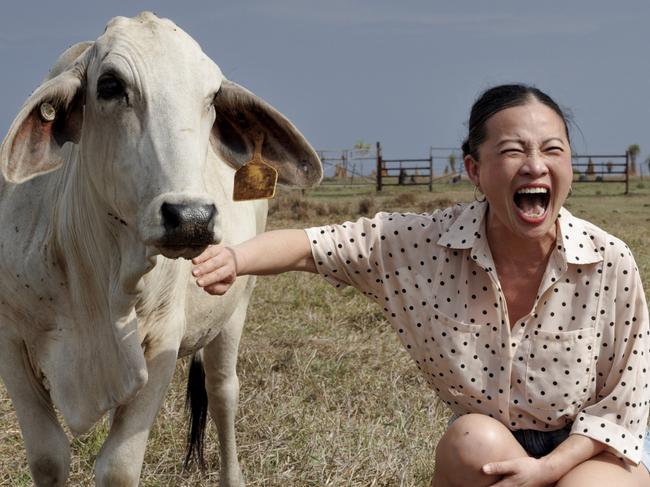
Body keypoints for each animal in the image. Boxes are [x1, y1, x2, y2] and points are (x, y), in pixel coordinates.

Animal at [0, 12, 322, 487]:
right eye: (110, 85)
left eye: (212, 96)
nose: (191, 217)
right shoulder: (11, 341)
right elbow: (47, 456)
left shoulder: (163, 339)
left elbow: (117, 466)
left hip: (236, 309)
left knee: (222, 393)